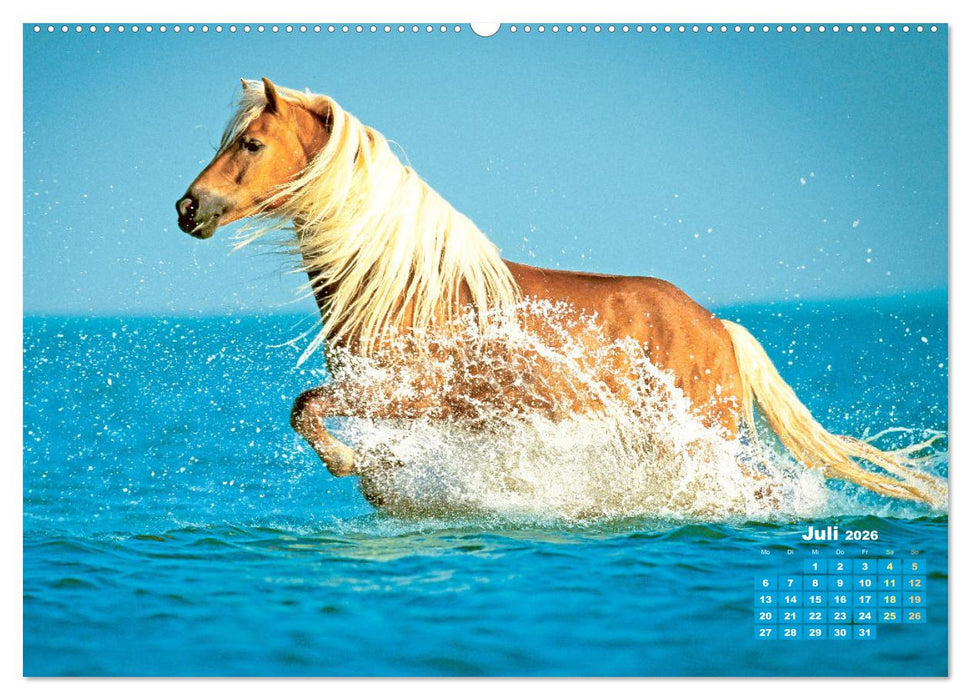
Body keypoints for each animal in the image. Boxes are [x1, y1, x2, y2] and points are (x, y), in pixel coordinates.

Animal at [175, 78, 945, 509]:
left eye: (250, 144)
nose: (188, 208)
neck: (403, 286)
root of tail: (718, 326)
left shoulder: (405, 393)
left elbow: (306, 408)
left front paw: (353, 466)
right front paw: (380, 482)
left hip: (700, 438)